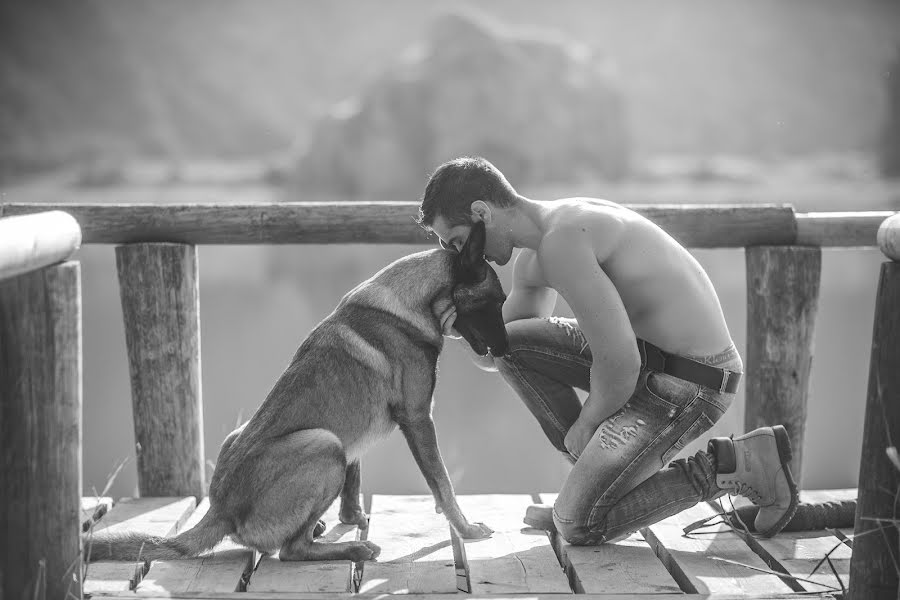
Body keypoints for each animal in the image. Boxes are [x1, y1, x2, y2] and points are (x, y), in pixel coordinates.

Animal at [88, 220, 510, 564]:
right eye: (496, 301)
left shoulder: (358, 434)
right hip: (325, 445)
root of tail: (220, 509)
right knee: (292, 550)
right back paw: (352, 549)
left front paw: (351, 518)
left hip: (252, 436)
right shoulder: (419, 419)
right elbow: (443, 484)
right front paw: (466, 529)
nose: (507, 350)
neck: (411, 300)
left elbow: (355, 480)